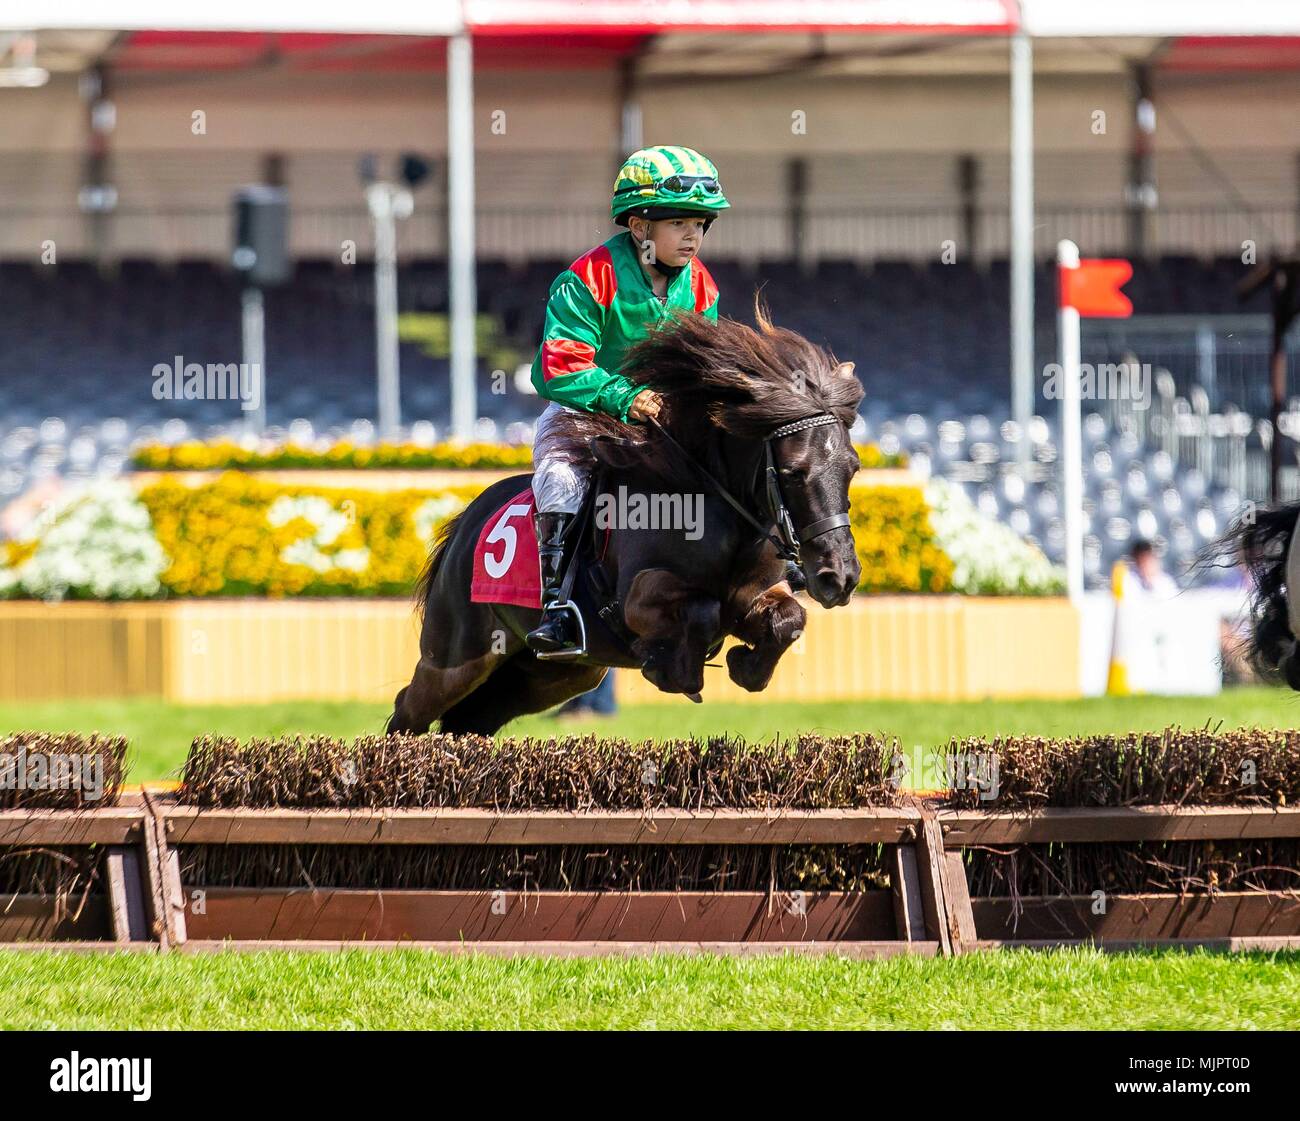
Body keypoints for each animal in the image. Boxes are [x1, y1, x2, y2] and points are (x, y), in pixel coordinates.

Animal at [382, 312, 863, 743]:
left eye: (853, 467)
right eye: (794, 472)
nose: (838, 576)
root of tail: (467, 522)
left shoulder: (756, 595)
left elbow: (788, 617)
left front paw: (747, 668)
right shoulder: (636, 599)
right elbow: (701, 609)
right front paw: (672, 669)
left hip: (553, 673)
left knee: (471, 720)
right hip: (457, 656)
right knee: (410, 710)